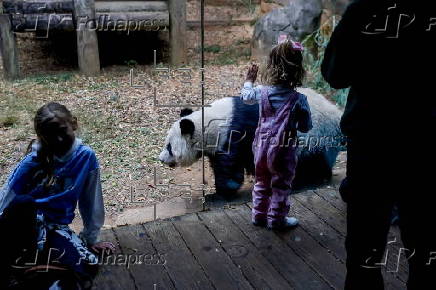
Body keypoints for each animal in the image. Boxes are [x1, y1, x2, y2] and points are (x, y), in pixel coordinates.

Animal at [158, 87, 346, 198]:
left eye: (169, 147)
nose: (161, 159)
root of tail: (336, 115)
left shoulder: (234, 134)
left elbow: (230, 169)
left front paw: (218, 194)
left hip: (315, 135)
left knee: (311, 160)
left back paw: (310, 179)